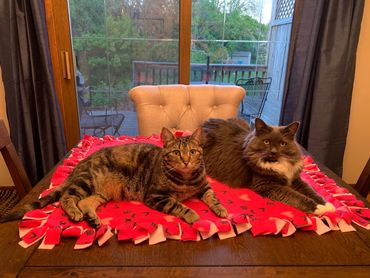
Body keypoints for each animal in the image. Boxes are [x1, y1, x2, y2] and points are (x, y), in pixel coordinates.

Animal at [0, 127, 228, 227]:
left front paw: (221, 209)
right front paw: (192, 214)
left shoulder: (204, 187)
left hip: (101, 193)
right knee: (67, 197)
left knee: (85, 203)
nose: (187, 161)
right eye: (177, 153)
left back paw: (92, 219)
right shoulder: (156, 196)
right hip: (87, 181)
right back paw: (74, 212)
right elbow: (178, 205)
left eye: (193, 152)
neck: (186, 179)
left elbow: (213, 197)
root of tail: (80, 163)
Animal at [201, 118, 336, 215]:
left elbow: (310, 190)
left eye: (282, 144)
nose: (273, 152)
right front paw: (317, 208)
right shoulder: (268, 185)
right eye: (266, 142)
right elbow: (295, 196)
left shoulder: (295, 179)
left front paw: (326, 205)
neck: (276, 162)